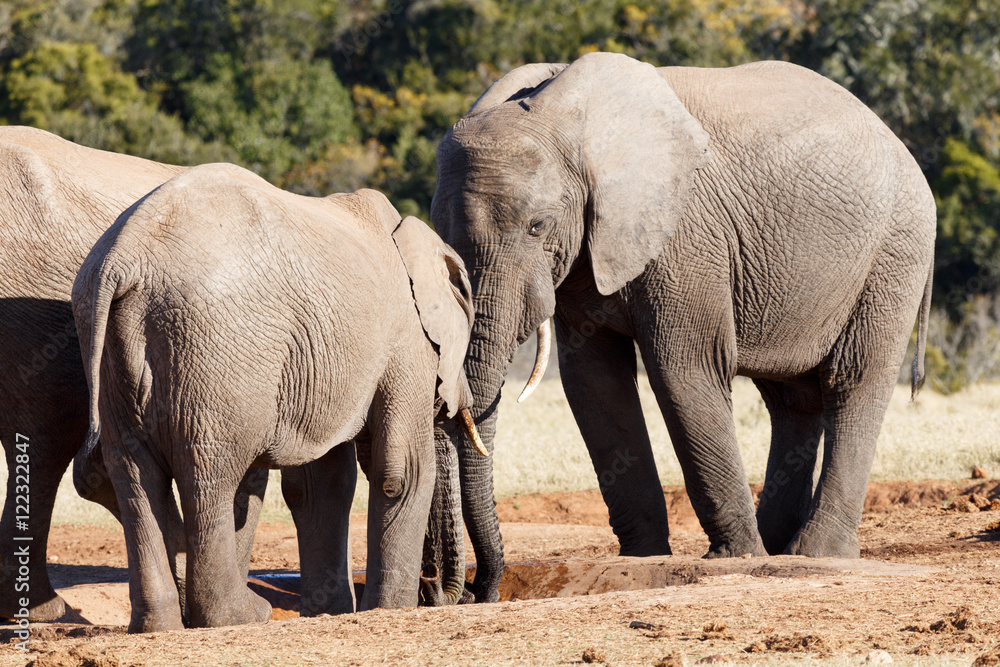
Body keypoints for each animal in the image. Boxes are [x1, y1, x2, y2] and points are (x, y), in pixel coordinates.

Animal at [72, 162, 478, 632]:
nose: (441, 590)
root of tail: (123, 258)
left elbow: (321, 483)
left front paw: (329, 612)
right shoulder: (406, 338)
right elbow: (402, 472)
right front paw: (388, 609)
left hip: (108, 346)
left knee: (134, 473)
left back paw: (159, 626)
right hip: (217, 349)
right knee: (211, 474)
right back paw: (242, 615)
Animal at [432, 53, 936, 604]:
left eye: (537, 226)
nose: (475, 592)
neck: (570, 121)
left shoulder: (686, 234)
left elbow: (684, 369)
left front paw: (736, 559)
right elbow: (593, 384)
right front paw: (642, 559)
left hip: (894, 250)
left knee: (853, 380)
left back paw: (815, 552)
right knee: (792, 400)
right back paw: (779, 545)